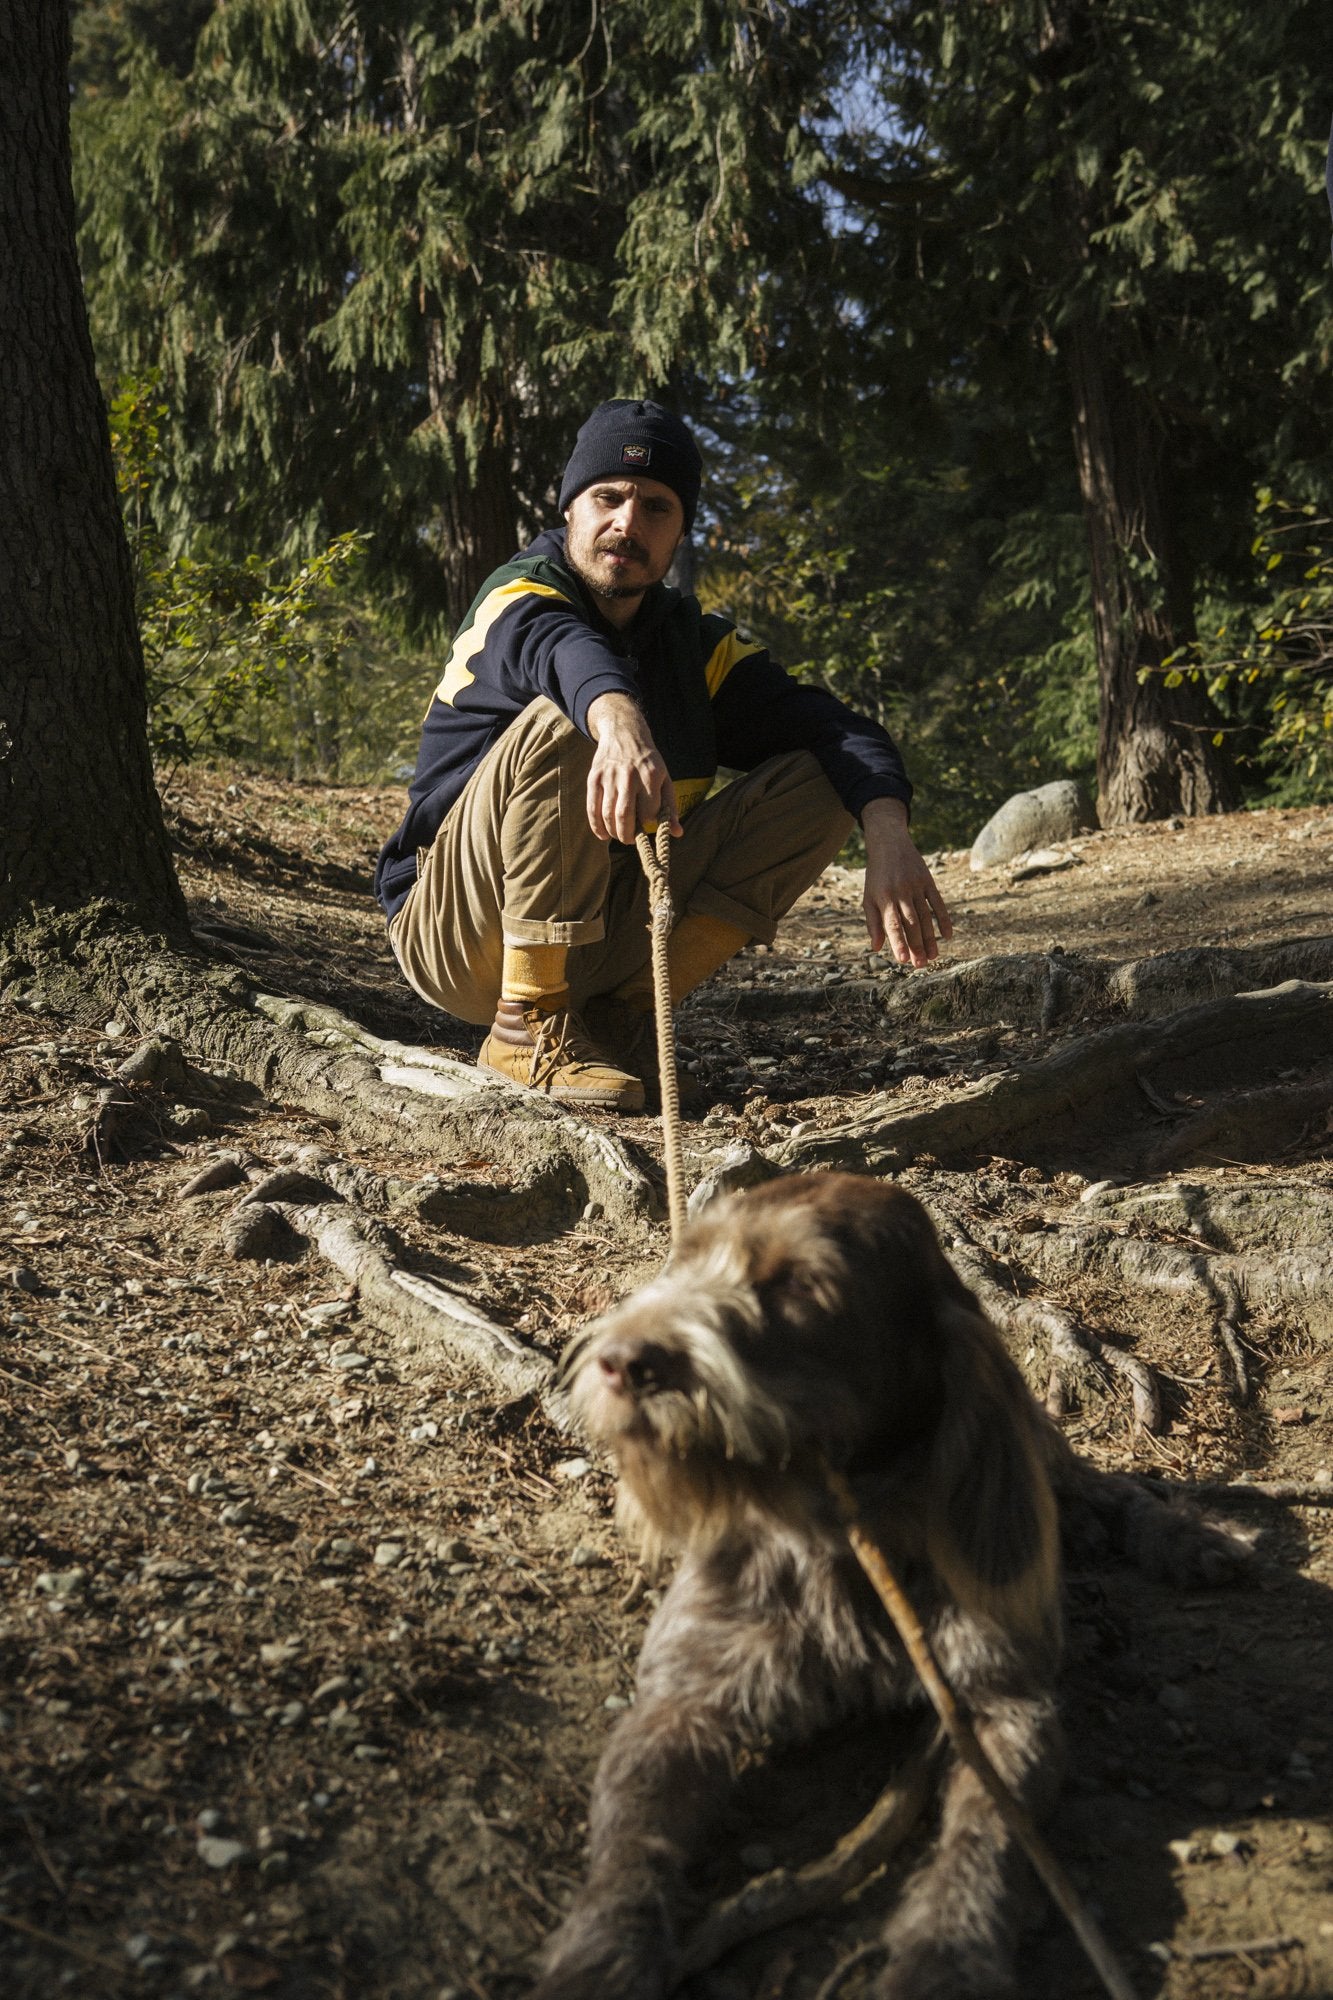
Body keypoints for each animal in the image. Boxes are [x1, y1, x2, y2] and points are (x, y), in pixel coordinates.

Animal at [528, 1168, 1056, 2000]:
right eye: (683, 1262)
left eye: (802, 1286)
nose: (620, 1359)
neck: (835, 1536)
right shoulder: (678, 1702)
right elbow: (628, 1844)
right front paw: (601, 1954)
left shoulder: (1005, 1706)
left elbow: (988, 1844)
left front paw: (944, 1954)